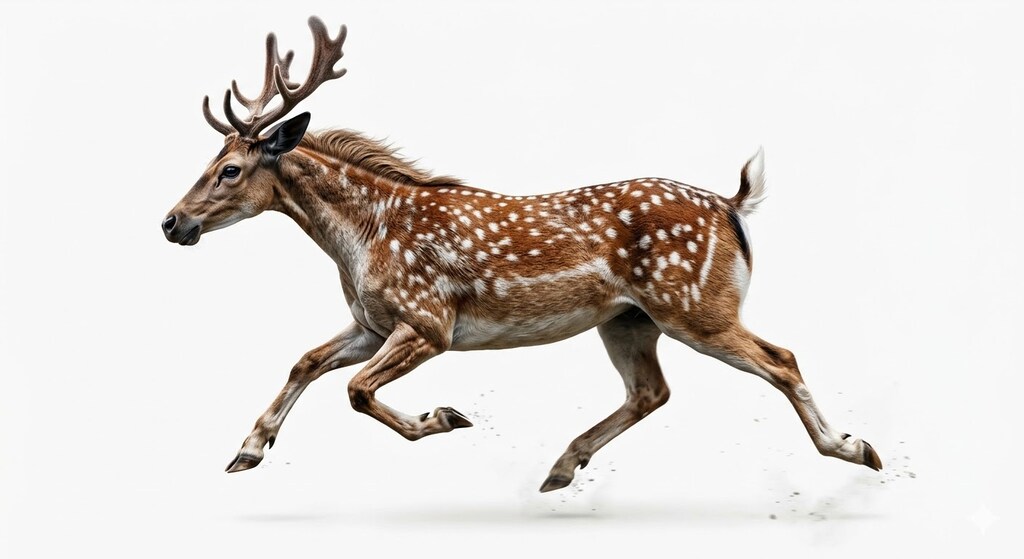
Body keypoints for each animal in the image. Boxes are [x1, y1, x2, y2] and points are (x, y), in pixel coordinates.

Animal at [162, 17, 882, 493]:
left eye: (229, 169)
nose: (172, 222)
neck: (363, 241)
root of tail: (734, 206)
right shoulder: (372, 321)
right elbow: (306, 360)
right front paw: (247, 451)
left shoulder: (429, 320)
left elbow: (356, 389)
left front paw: (445, 416)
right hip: (629, 319)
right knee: (653, 390)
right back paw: (561, 467)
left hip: (696, 304)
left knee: (780, 357)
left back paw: (858, 448)